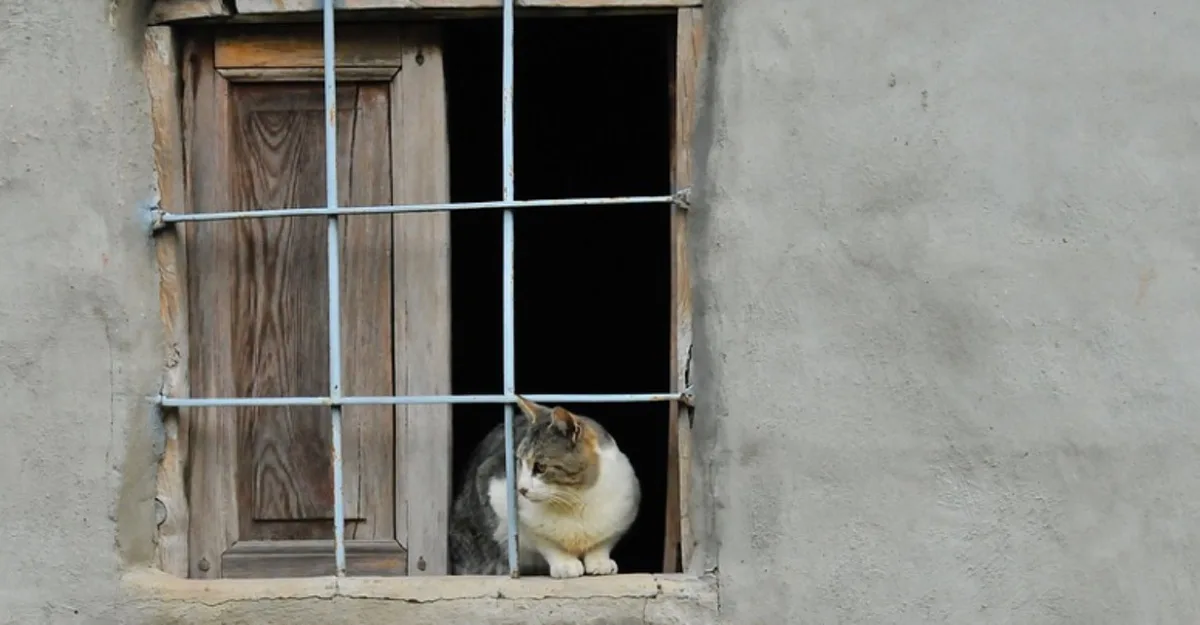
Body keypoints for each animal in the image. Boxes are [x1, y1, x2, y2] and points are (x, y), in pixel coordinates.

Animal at [448, 395, 638, 575]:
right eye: (519, 462)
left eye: (540, 467)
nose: (521, 489)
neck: (574, 498)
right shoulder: (495, 489)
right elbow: (546, 543)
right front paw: (565, 564)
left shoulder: (623, 511)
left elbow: (603, 542)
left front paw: (600, 562)